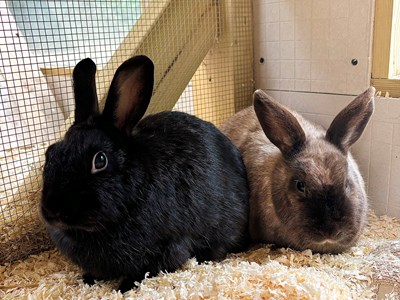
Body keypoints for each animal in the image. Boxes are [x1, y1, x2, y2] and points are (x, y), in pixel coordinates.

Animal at [39, 55, 248, 292]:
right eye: (50, 153)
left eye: (99, 160)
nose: (52, 210)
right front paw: (87, 280)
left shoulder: (168, 246)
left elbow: (147, 270)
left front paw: (122, 287)